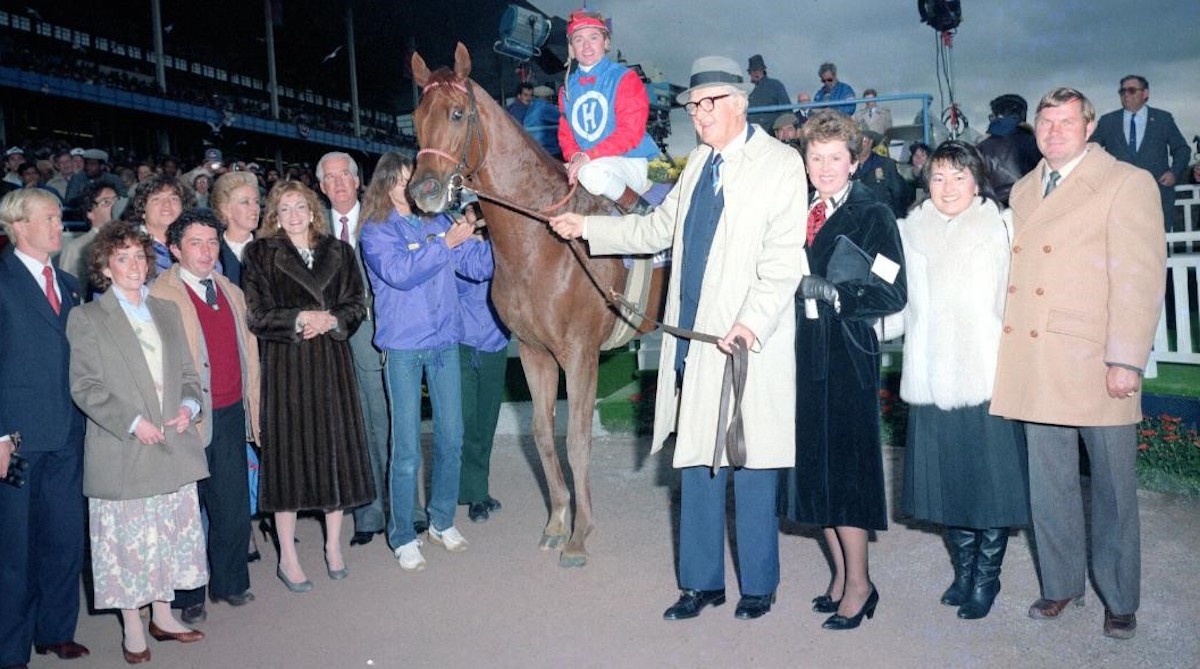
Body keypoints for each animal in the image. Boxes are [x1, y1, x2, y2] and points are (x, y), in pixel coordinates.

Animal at [405, 43, 667, 565]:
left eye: (458, 113)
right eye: (417, 118)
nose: (423, 193)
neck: (544, 238)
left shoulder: (581, 355)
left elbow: (579, 441)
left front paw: (580, 535)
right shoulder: (533, 352)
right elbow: (544, 436)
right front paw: (557, 523)